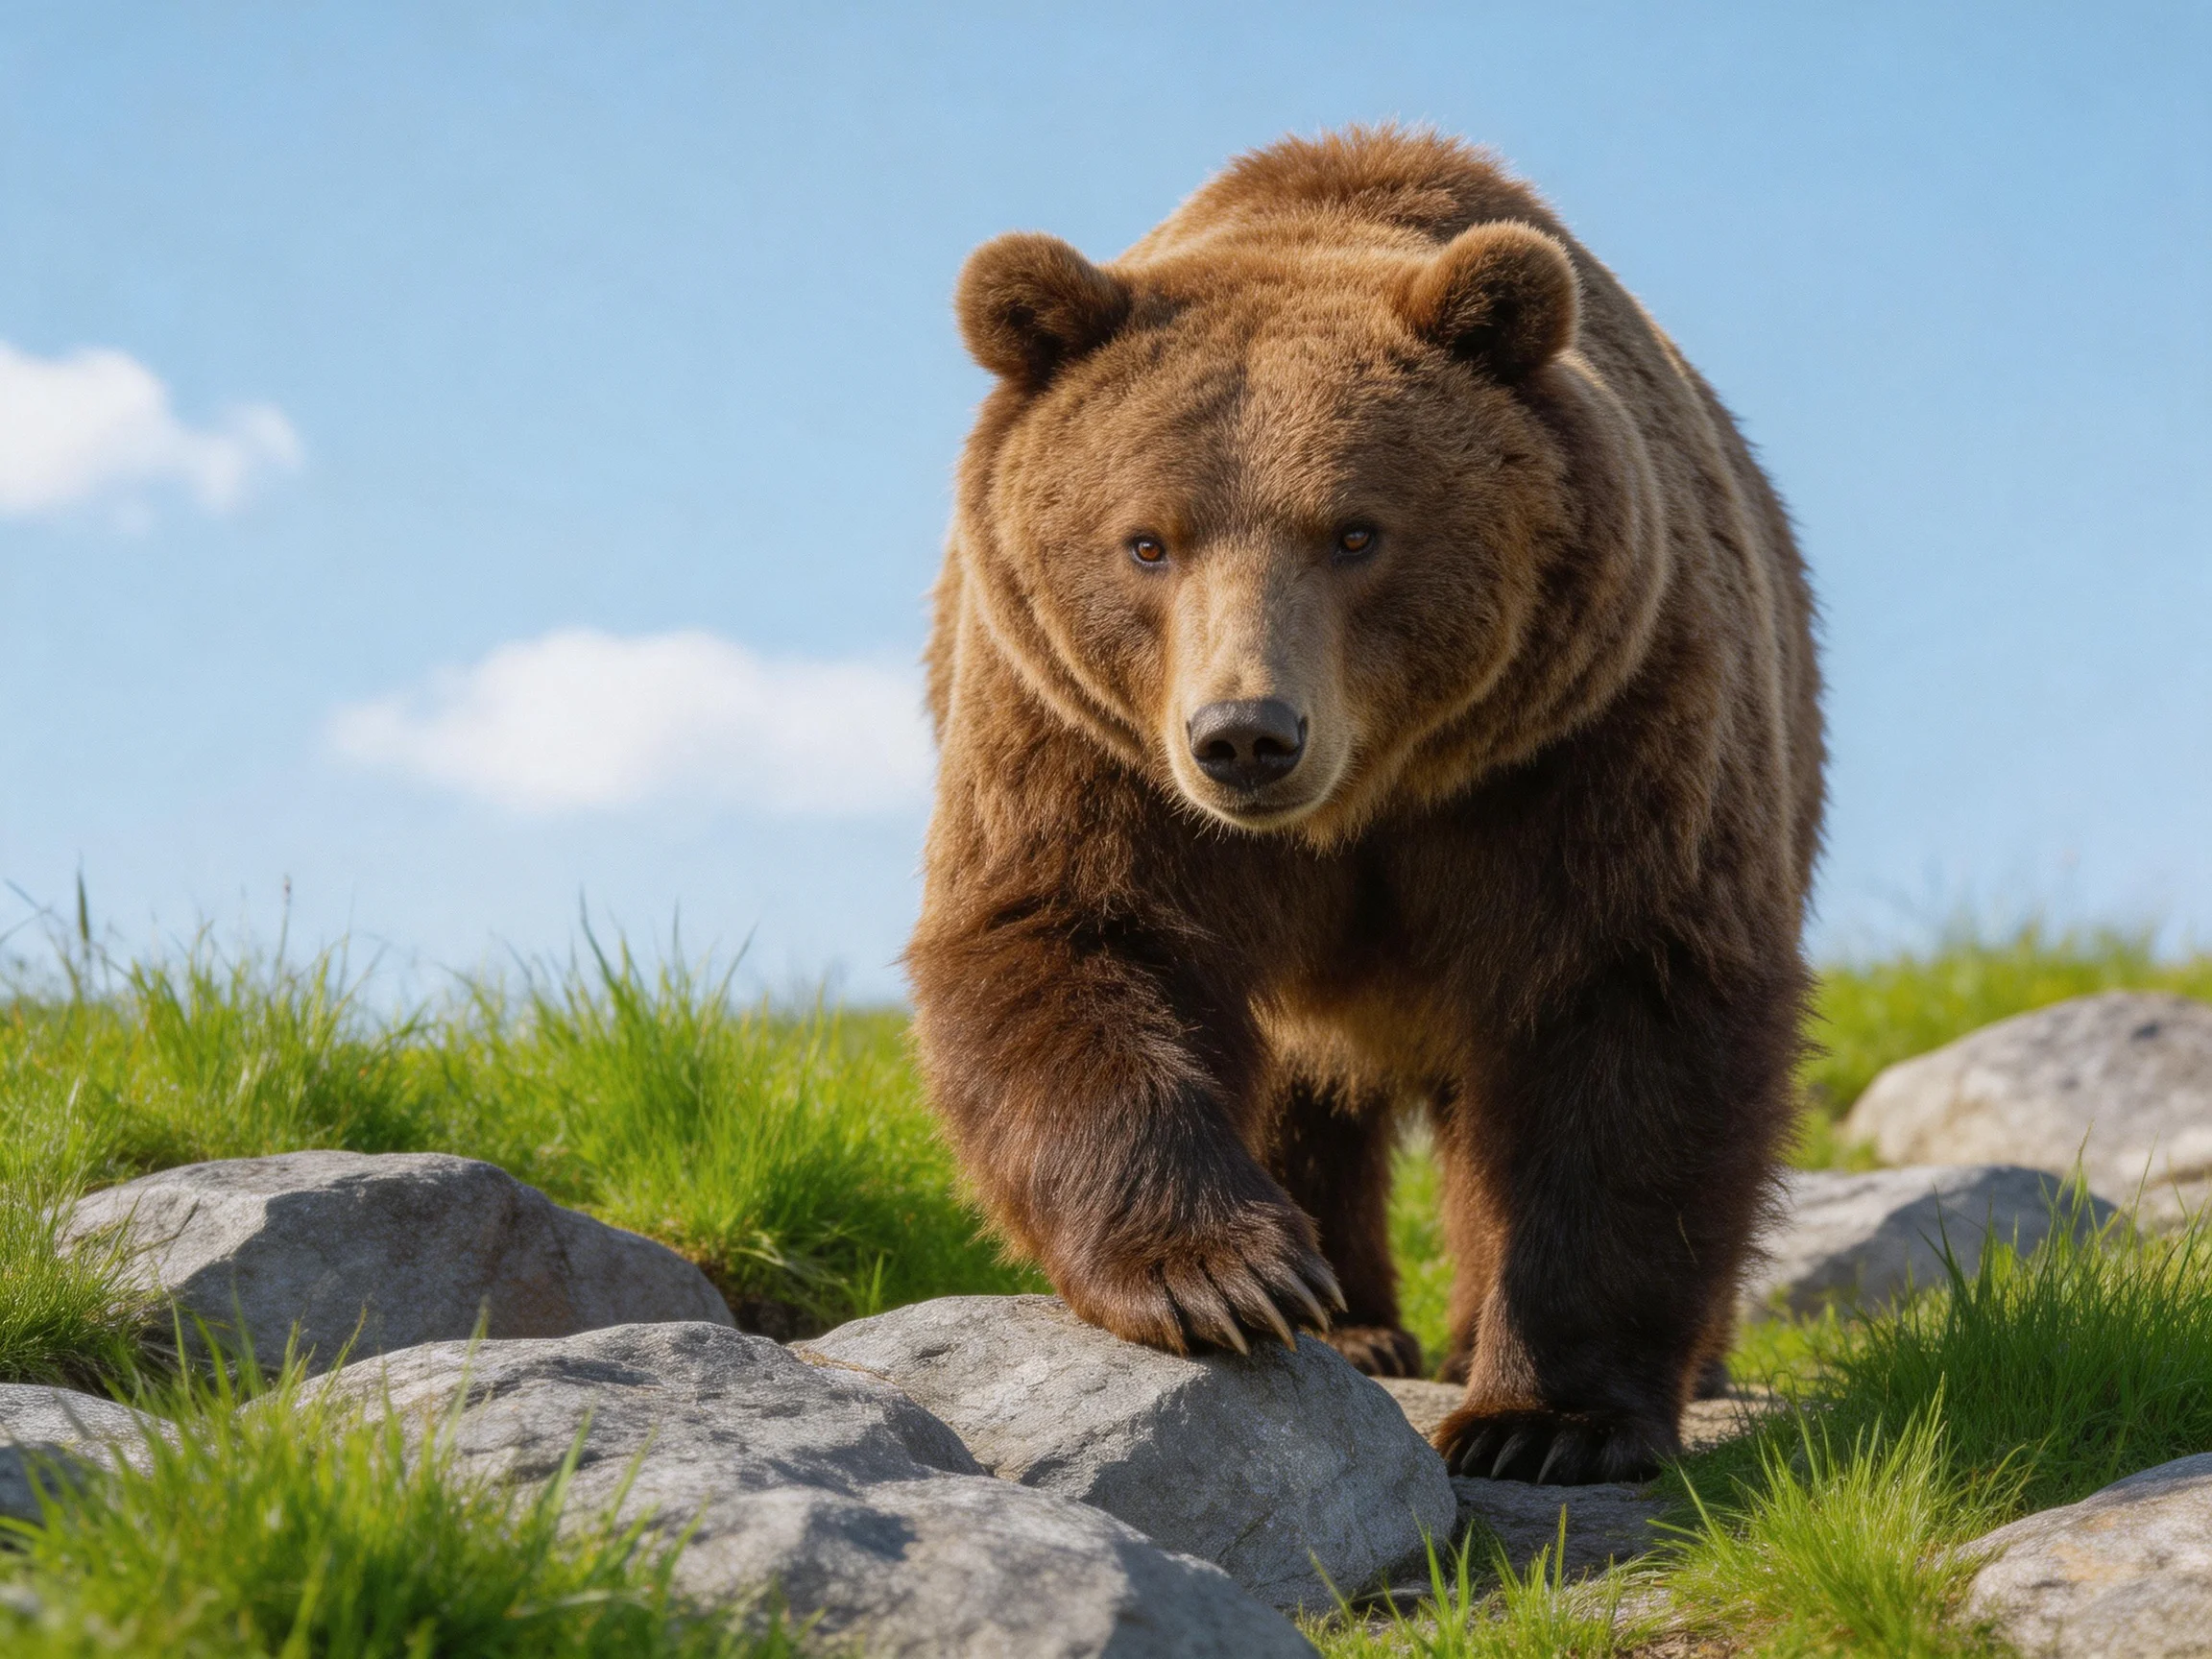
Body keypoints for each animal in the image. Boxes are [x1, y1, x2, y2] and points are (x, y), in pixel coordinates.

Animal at [906, 126, 1822, 1484]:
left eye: (1355, 532)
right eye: (1146, 542)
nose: (1245, 735)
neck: (1367, 800)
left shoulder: (1599, 732)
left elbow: (1631, 1007)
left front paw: (1546, 1418)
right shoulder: (1079, 740)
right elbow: (1066, 937)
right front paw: (1225, 1278)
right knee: (1302, 1082)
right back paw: (1356, 1323)